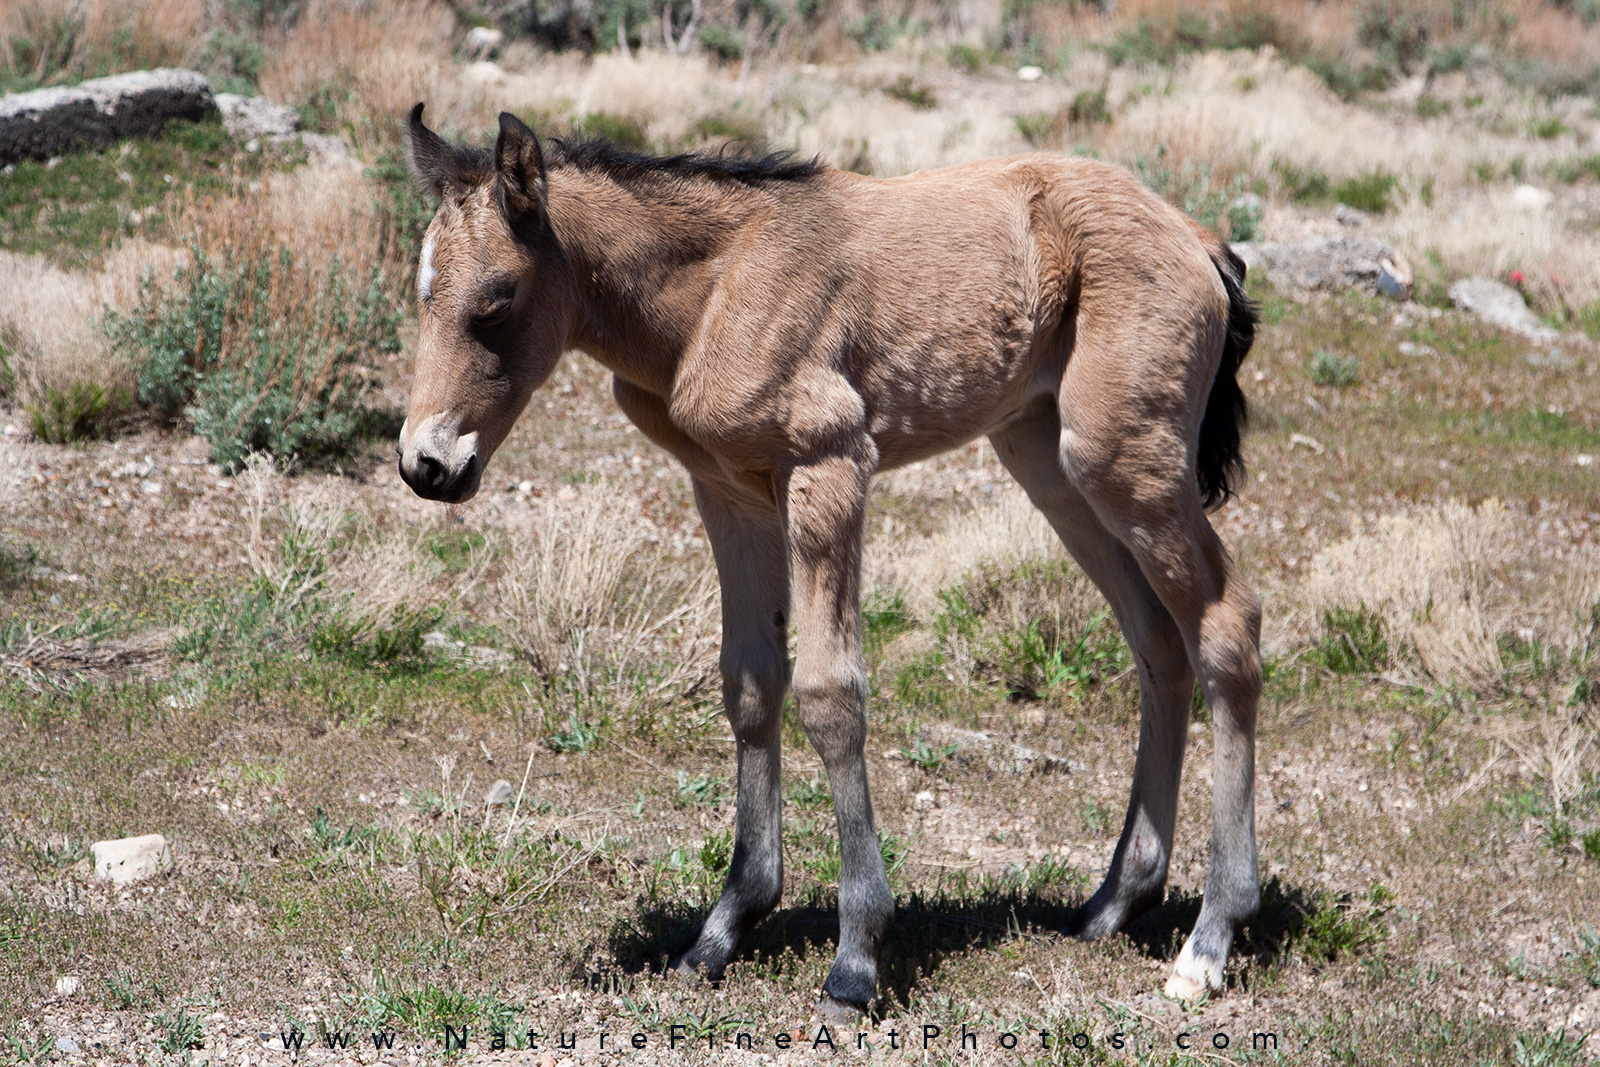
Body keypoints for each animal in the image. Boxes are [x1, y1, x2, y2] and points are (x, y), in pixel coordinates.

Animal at [396, 106, 1260, 1017]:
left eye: (496, 302)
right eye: (421, 298)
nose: (427, 466)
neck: (712, 290)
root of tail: (1200, 239)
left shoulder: (831, 466)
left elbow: (829, 694)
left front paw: (855, 957)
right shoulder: (727, 493)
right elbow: (749, 684)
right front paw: (725, 927)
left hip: (1123, 459)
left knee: (1226, 626)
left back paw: (1209, 939)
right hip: (1051, 463)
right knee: (1159, 643)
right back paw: (1118, 898)